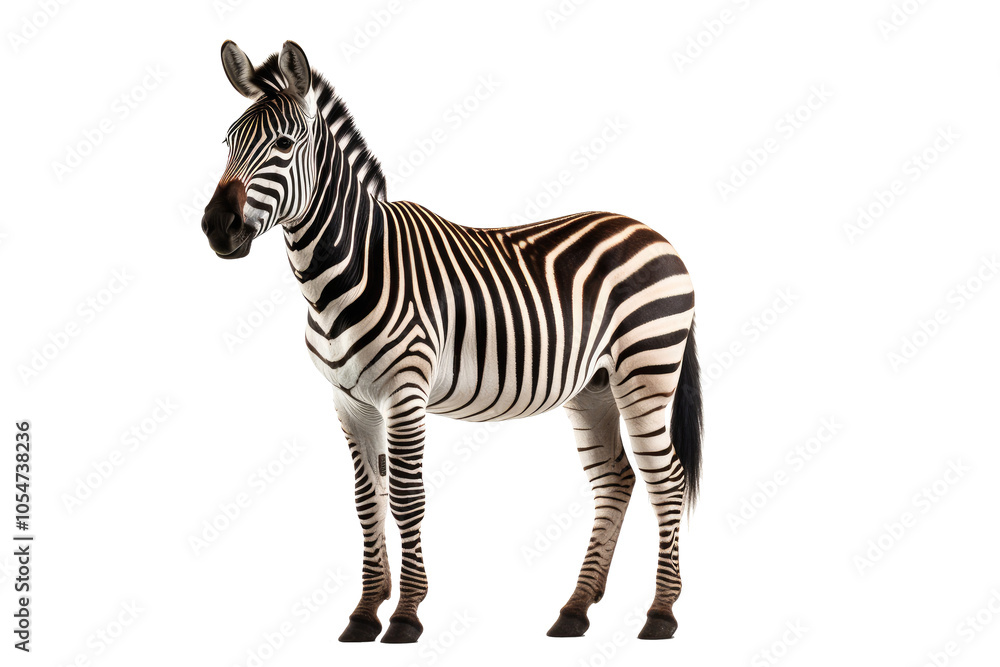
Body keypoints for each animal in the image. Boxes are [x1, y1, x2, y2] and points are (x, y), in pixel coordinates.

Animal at [201, 40, 702, 643]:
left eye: (282, 144)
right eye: (228, 142)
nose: (216, 227)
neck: (347, 269)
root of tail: (654, 233)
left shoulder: (405, 394)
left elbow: (405, 498)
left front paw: (405, 615)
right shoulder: (349, 403)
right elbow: (366, 503)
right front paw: (365, 612)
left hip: (646, 372)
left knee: (666, 480)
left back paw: (661, 612)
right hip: (595, 387)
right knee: (615, 480)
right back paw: (575, 609)